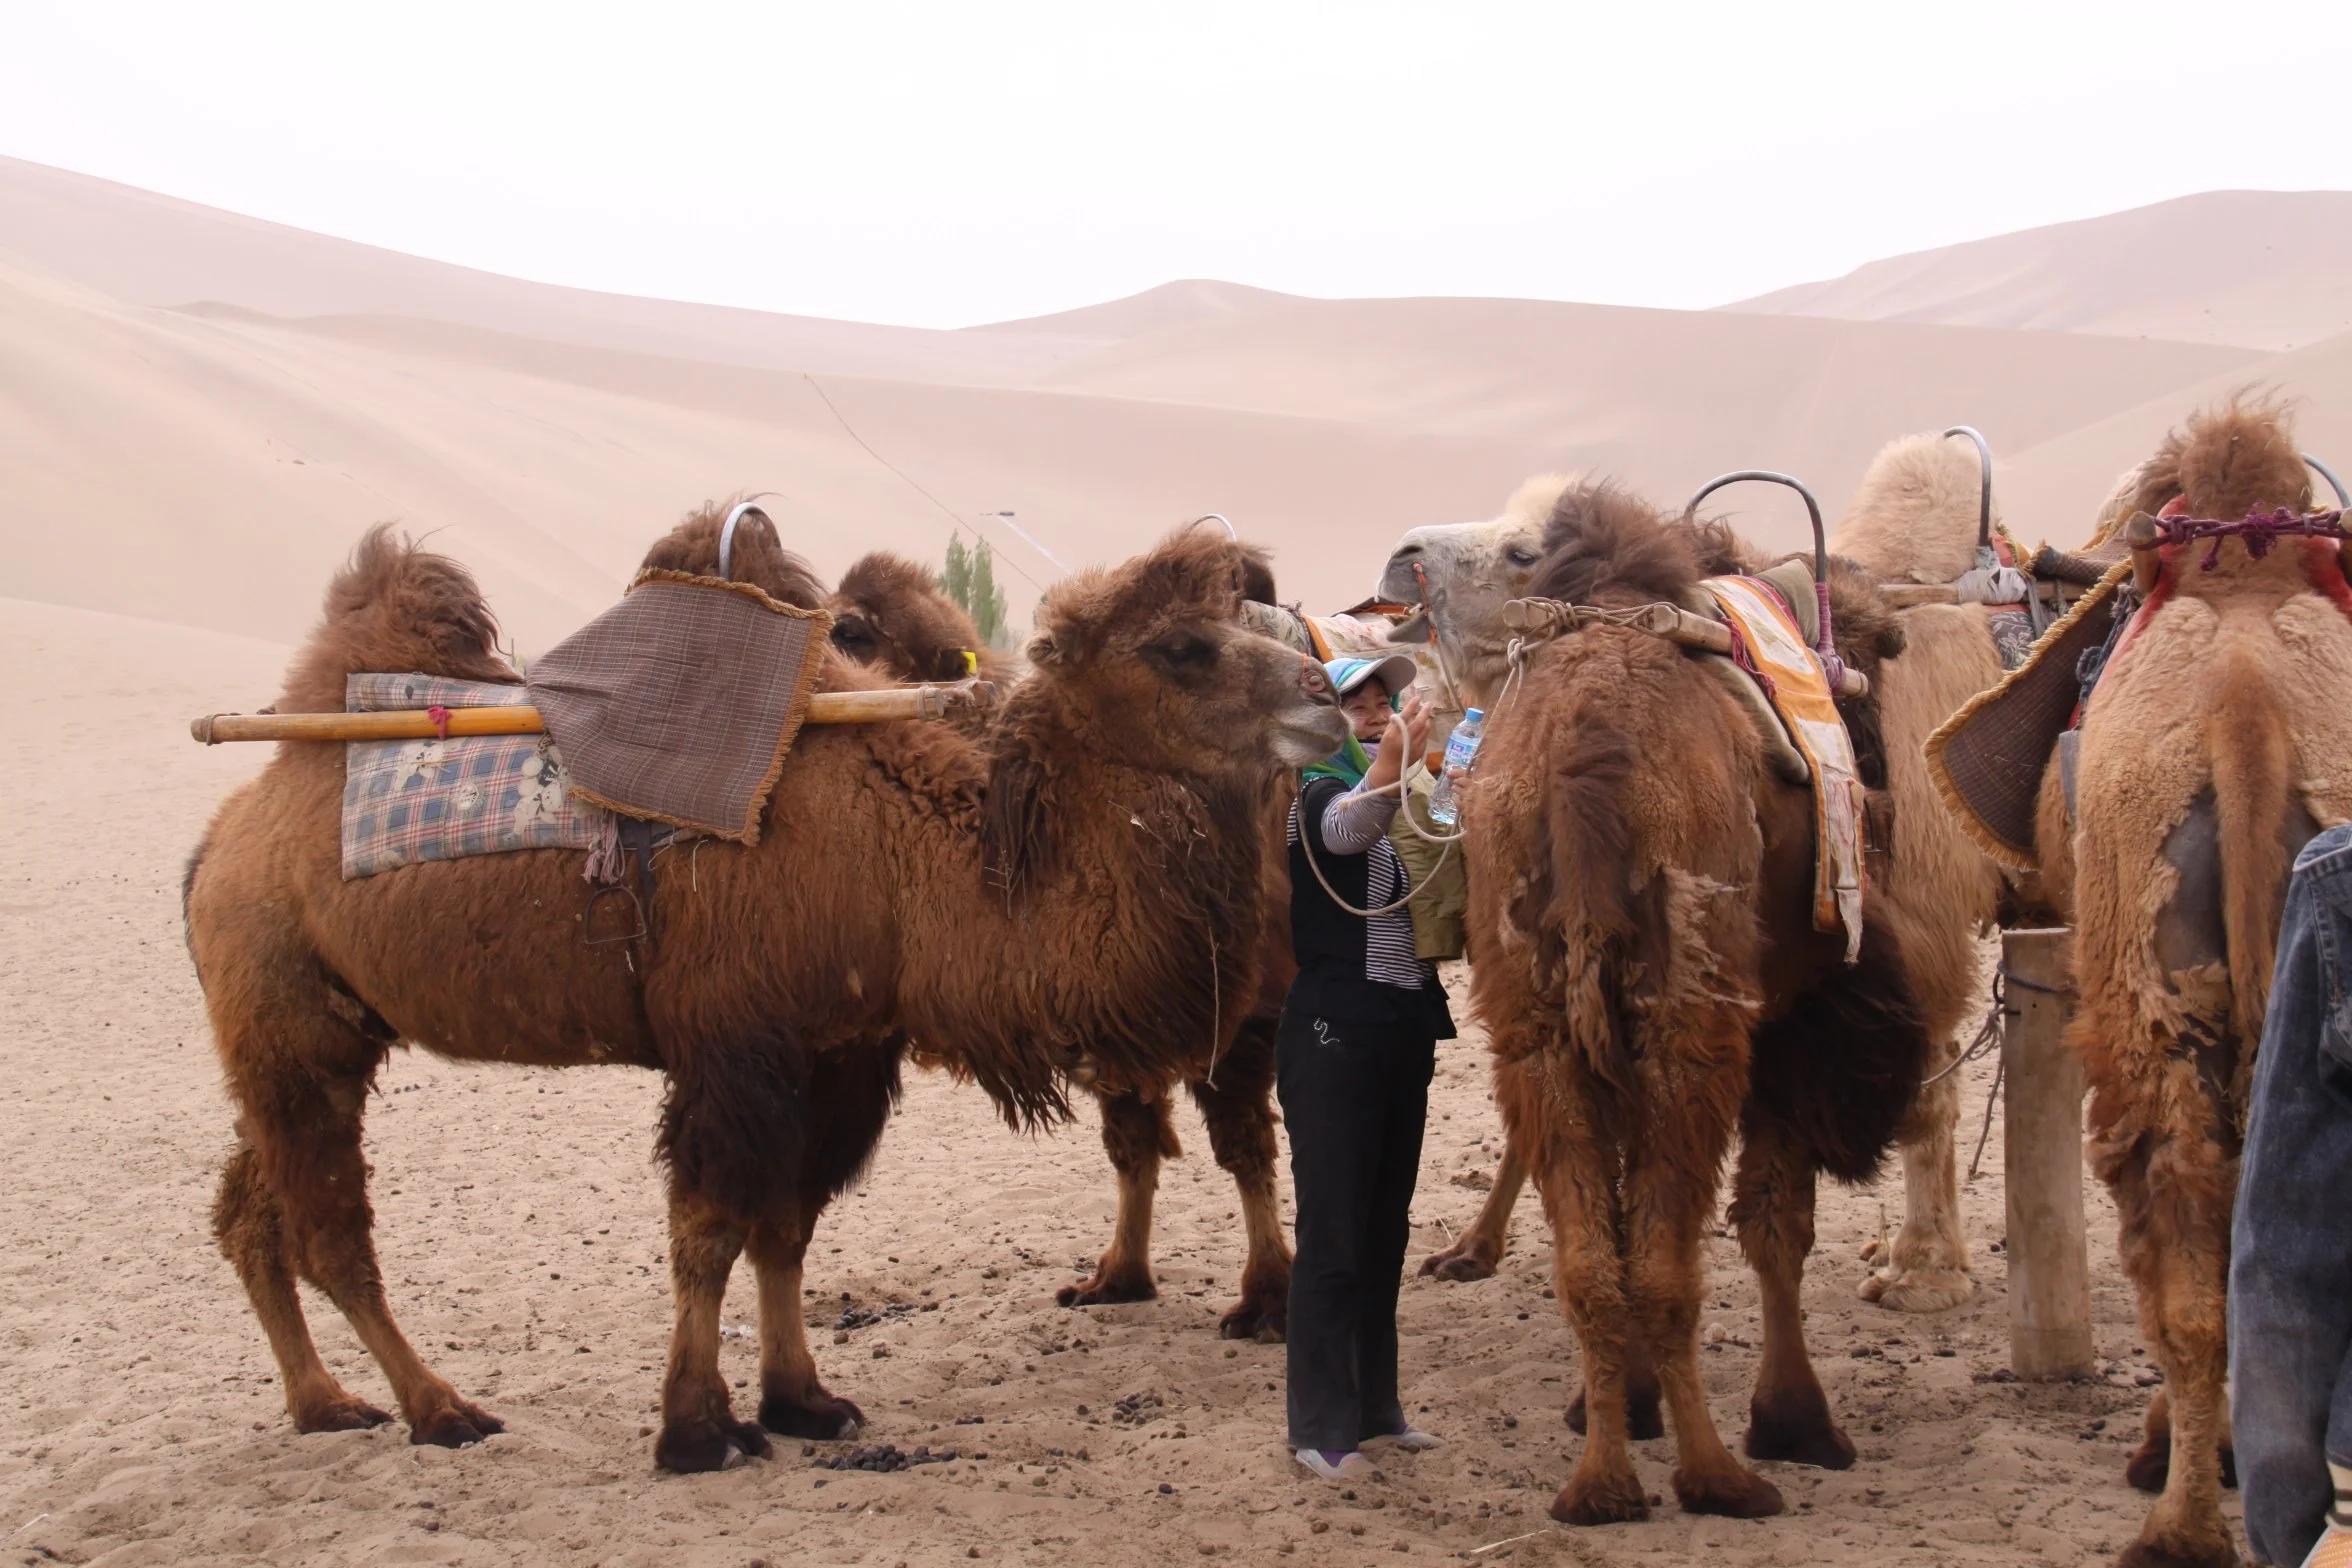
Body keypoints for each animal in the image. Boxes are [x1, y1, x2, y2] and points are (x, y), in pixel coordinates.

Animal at [819, 541, 1300, 1341]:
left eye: (851, 630)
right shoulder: (1115, 1015)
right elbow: (1131, 1141)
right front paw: (1118, 1277)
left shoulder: (1239, 1012)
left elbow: (1244, 1145)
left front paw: (1268, 1300)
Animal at [1388, 445, 2005, 1316]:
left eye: (1521, 551)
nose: (1402, 559)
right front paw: (1471, 1249)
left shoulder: (1919, 920)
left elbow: (1926, 1087)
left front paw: (1925, 1274)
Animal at [1461, 480, 1930, 1523]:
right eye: (1882, 651)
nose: (1883, 793)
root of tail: (1587, 763)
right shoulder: (1790, 1020)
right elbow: (1776, 1224)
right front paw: (1798, 1423)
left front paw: (1627, 1405)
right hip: (1696, 1023)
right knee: (1677, 1258)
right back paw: (1718, 1475)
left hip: (1540, 1028)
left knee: (1595, 1262)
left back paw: (1602, 1482)